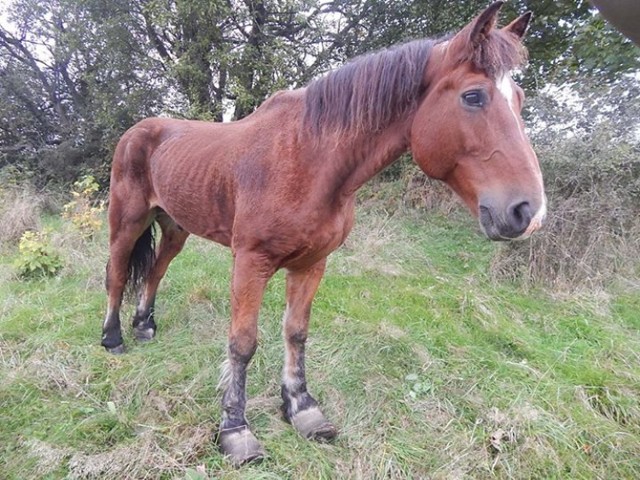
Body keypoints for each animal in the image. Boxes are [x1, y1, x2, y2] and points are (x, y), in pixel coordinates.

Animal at [100, 0, 544, 464]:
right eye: (473, 96)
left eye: (519, 98)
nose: (528, 211)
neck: (308, 159)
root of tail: (137, 131)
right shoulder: (250, 261)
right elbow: (242, 342)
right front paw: (235, 430)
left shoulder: (312, 263)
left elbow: (296, 332)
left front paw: (302, 409)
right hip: (127, 220)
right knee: (117, 273)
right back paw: (113, 338)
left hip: (175, 227)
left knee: (155, 271)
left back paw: (145, 326)